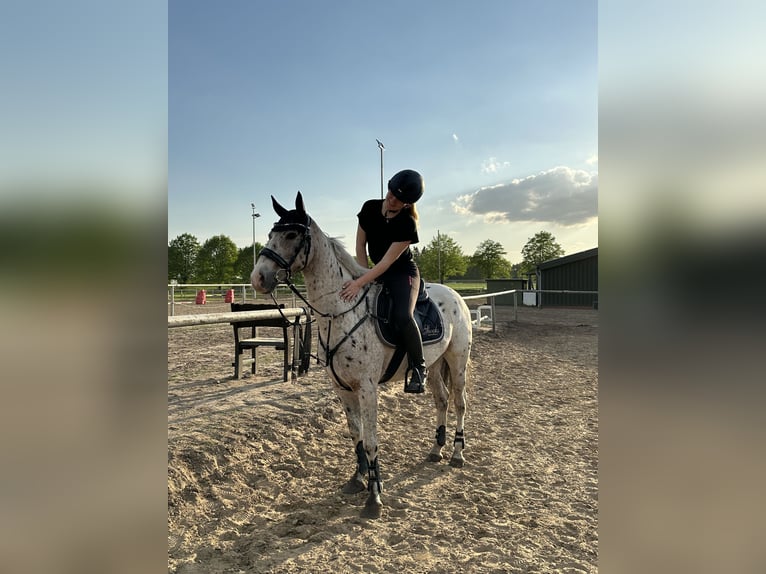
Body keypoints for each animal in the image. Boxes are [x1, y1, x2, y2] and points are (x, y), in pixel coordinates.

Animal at [250, 194, 474, 520]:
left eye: (291, 235)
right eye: (269, 233)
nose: (258, 278)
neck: (339, 311)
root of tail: (456, 295)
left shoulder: (367, 389)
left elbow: (370, 440)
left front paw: (374, 496)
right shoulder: (342, 389)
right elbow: (355, 434)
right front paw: (358, 479)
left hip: (457, 362)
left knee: (459, 402)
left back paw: (457, 453)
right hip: (433, 365)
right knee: (441, 400)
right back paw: (436, 450)